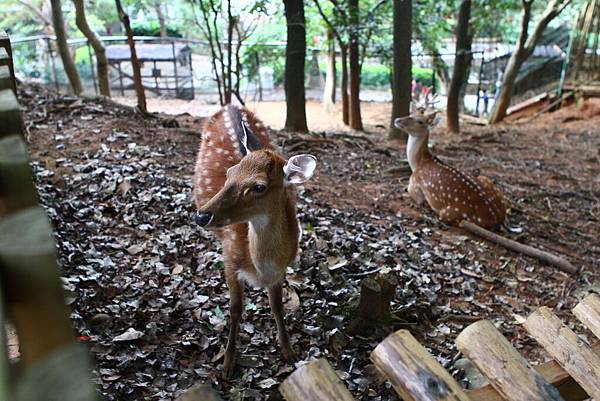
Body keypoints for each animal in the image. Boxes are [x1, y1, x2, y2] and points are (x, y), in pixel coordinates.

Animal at [192, 104, 316, 376]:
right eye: (229, 173)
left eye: (259, 186)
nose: (201, 215)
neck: (260, 267)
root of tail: (230, 105)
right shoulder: (230, 259)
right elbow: (235, 309)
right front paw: (228, 362)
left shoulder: (281, 270)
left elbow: (278, 306)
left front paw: (289, 351)